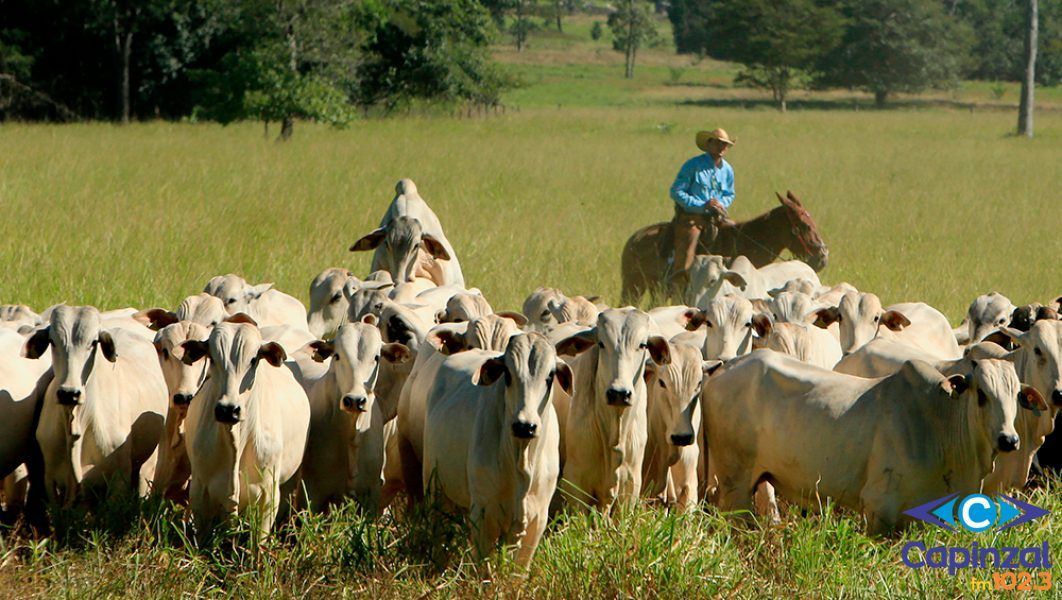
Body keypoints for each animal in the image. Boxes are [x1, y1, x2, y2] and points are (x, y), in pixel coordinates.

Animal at [26, 303, 166, 505]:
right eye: (52, 341)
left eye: (93, 342)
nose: (69, 393)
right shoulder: (51, 479)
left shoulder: (118, 480)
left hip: (148, 463)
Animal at [422, 331, 573, 564]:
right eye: (508, 375)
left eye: (550, 377)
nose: (525, 426)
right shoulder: (483, 516)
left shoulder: (537, 520)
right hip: (434, 489)